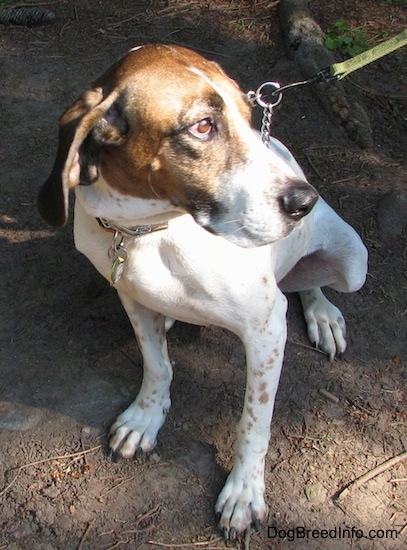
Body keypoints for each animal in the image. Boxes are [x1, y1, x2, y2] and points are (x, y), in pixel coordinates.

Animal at [39, 45, 370, 540]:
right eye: (202, 126)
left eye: (251, 115)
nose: (303, 201)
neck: (151, 230)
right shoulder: (132, 298)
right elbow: (157, 365)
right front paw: (146, 417)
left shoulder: (265, 332)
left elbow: (254, 423)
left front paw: (244, 492)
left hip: (353, 264)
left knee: (304, 282)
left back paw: (323, 315)